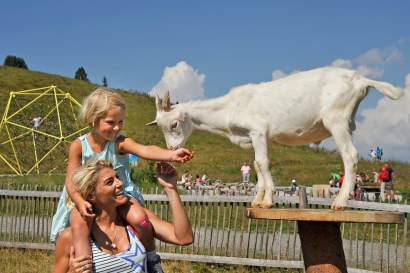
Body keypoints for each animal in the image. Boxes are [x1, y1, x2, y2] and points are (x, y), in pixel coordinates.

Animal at [146, 66, 402, 208]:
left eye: (174, 124)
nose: (172, 149)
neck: (230, 107)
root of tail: (360, 80)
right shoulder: (253, 138)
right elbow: (256, 166)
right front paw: (258, 200)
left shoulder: (258, 131)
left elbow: (262, 163)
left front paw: (267, 200)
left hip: (336, 120)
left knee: (350, 155)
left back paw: (340, 203)